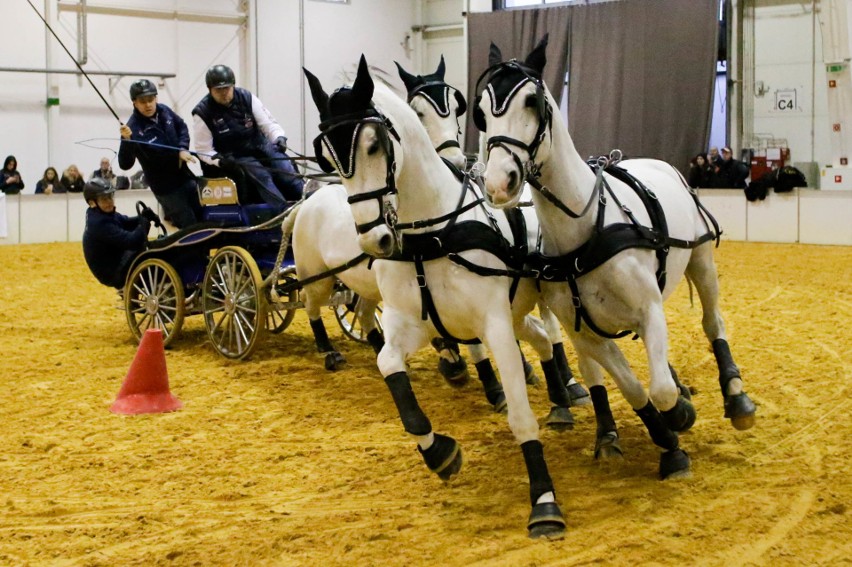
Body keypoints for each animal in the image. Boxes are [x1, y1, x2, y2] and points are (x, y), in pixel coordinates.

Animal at [306, 57, 572, 540]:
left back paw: (569, 391)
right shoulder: (415, 323)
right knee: (541, 337)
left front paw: (544, 500)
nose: (373, 239)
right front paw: (439, 452)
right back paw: (560, 400)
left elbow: (519, 415)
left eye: (374, 144)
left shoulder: (493, 325)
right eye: (329, 157)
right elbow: (390, 368)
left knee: (551, 334)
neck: (432, 233)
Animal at [476, 35, 756, 480]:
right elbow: (634, 387)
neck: (584, 229)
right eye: (482, 112)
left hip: (701, 260)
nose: (499, 182)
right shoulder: (586, 332)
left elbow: (660, 390)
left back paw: (735, 395)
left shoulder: (648, 309)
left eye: (532, 102)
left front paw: (680, 414)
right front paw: (668, 444)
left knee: (713, 322)